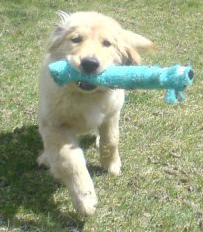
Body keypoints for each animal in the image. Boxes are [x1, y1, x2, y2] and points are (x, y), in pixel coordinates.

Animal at [38, 11, 153, 216]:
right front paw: (85, 199)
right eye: (76, 39)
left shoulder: (112, 113)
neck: (86, 95)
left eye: (107, 43)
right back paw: (45, 157)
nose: (90, 63)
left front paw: (111, 165)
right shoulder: (56, 125)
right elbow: (70, 161)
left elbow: (111, 140)